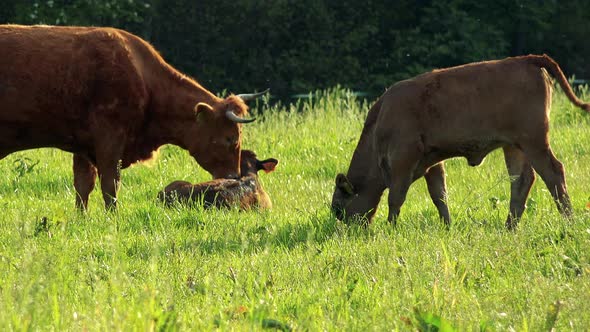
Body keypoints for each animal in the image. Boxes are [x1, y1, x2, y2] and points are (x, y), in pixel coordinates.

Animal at [0, 24, 264, 209]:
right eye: (231, 138)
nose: (234, 176)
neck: (144, 79)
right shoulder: (109, 140)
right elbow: (110, 184)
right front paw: (112, 217)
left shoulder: (83, 145)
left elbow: (83, 185)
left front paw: (81, 218)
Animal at [332, 55, 590, 231]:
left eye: (339, 209)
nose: (346, 232)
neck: (381, 120)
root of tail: (528, 59)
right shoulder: (431, 163)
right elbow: (439, 196)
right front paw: (447, 226)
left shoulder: (403, 161)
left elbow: (396, 197)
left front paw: (391, 228)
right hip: (514, 146)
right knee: (522, 180)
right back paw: (509, 227)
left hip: (534, 142)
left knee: (554, 173)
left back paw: (568, 221)